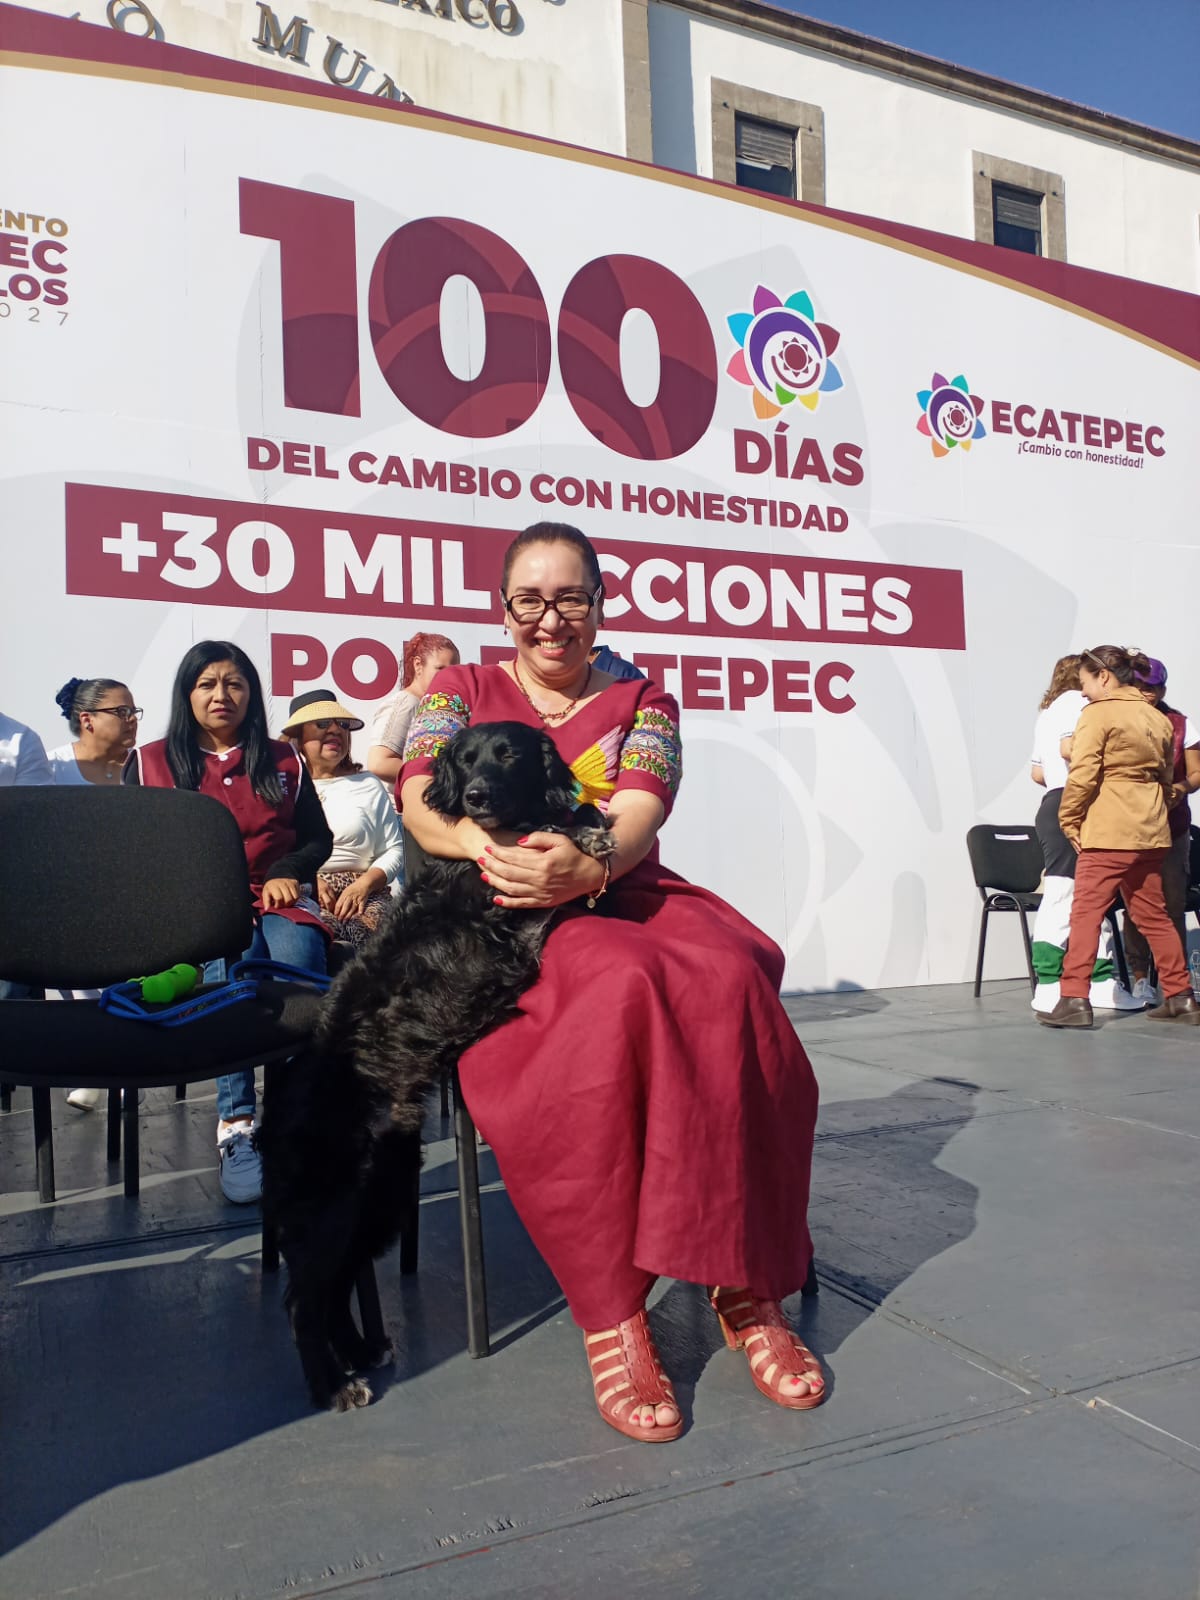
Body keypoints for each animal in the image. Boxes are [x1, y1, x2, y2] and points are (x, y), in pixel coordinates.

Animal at [259, 720, 615, 1411]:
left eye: (510, 755)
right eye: (465, 761)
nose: (475, 796)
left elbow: (562, 822)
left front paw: (589, 822)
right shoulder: (502, 893)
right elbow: (543, 835)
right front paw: (578, 830)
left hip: (383, 1191)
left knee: (336, 1284)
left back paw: (361, 1352)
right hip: (333, 1202)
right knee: (300, 1302)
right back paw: (332, 1385)